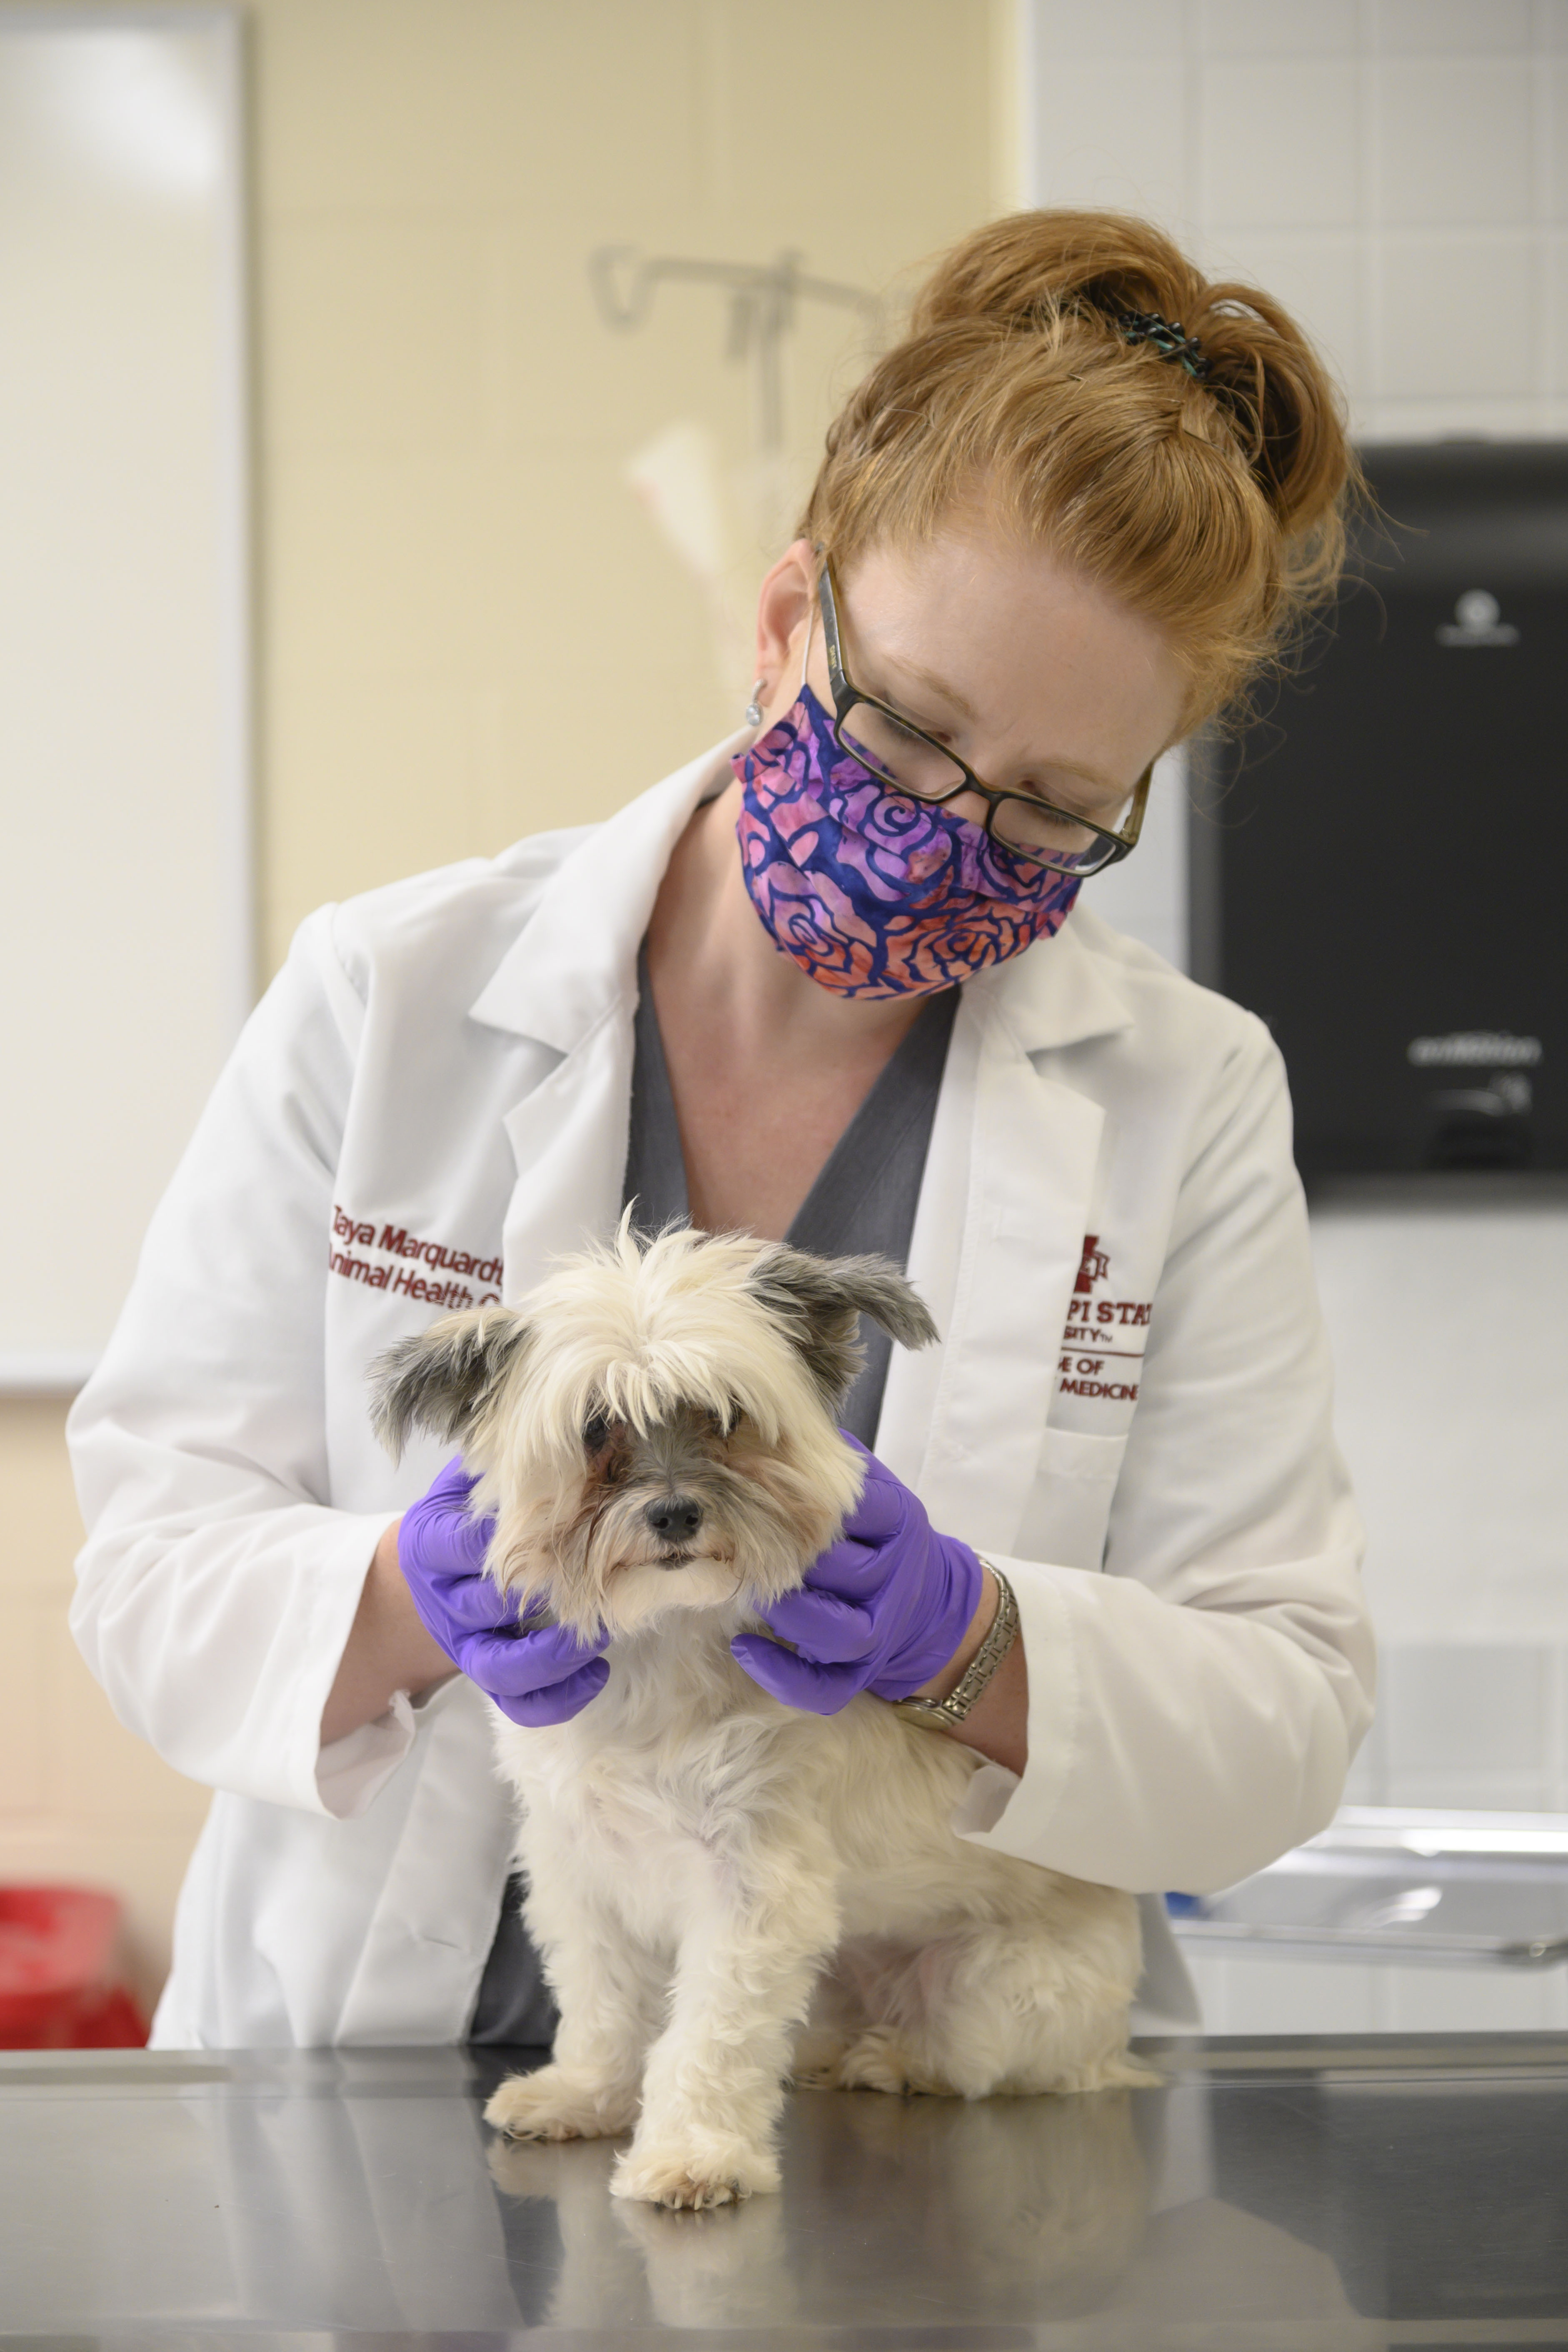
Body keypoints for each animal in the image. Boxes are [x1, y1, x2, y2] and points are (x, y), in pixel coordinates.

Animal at [374, 1223, 1147, 2211]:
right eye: (595, 1429)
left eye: (725, 1416)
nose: (673, 1513)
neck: (662, 1651)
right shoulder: (581, 1871)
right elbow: (603, 2003)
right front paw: (587, 2095)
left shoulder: (751, 1887)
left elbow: (709, 2032)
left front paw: (692, 2155)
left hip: (987, 1988)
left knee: (987, 2063)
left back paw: (892, 2061)